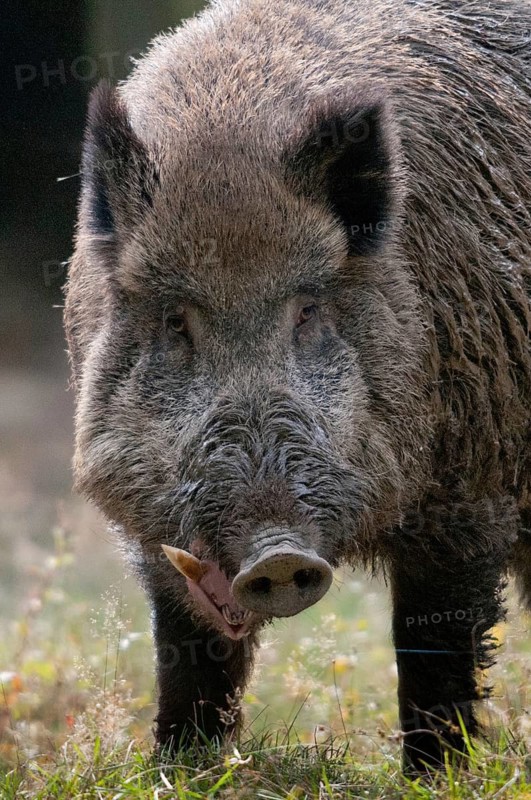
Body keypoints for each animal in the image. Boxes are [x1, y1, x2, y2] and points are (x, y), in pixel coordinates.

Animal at [64, 0, 531, 773]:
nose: (278, 554)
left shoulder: (470, 494)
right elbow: (188, 651)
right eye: (174, 320)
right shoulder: (155, 531)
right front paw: (180, 770)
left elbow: (432, 649)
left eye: (308, 309)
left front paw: (435, 776)